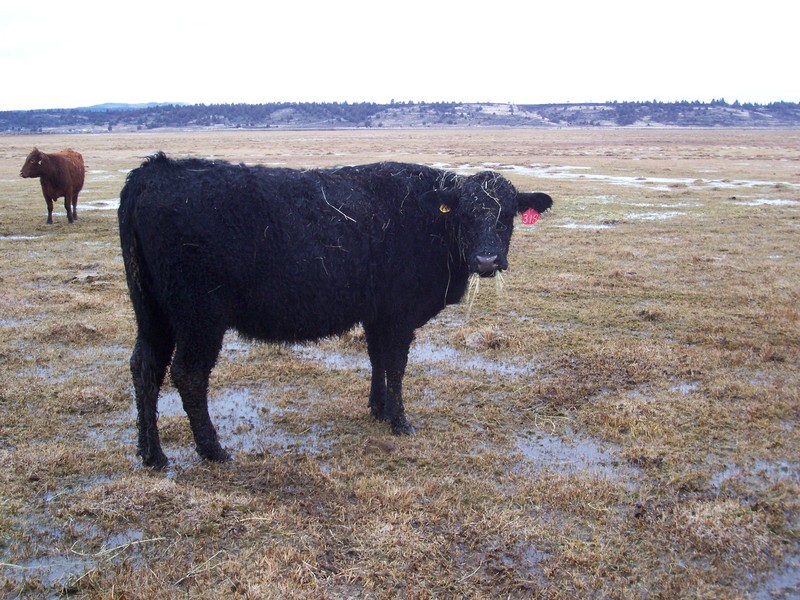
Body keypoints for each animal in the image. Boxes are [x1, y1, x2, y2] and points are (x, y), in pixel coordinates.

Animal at [118, 153, 553, 469]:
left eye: (508, 214)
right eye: (465, 213)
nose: (486, 260)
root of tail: (155, 169)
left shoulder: (377, 313)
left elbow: (378, 359)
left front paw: (377, 409)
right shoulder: (399, 313)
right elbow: (396, 365)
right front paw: (400, 421)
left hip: (152, 312)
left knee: (144, 367)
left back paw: (152, 455)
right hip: (199, 315)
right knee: (188, 374)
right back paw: (213, 450)